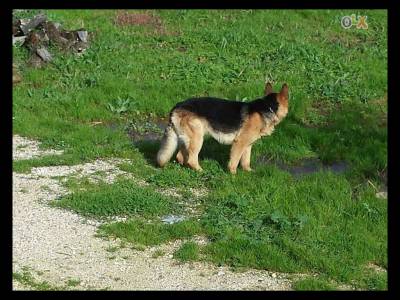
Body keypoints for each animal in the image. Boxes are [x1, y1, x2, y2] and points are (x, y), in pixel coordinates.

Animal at [155, 82, 288, 175]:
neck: (268, 107)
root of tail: (177, 106)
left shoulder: (248, 145)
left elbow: (246, 161)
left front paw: (248, 172)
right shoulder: (239, 144)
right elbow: (234, 161)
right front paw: (233, 175)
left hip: (186, 139)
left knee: (180, 157)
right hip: (197, 139)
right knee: (191, 159)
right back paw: (201, 171)